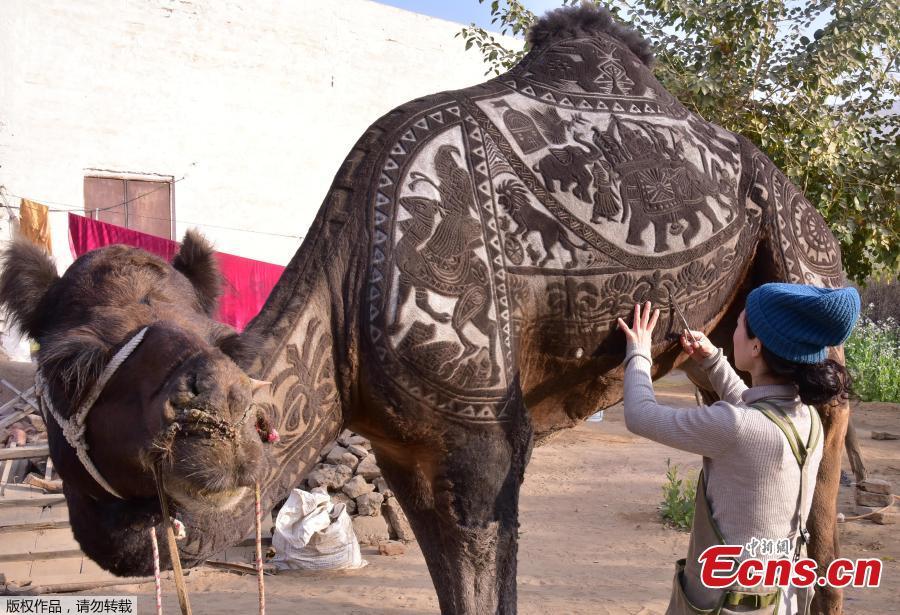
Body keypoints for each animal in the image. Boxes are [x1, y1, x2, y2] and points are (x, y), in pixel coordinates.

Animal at [0, 6, 852, 615]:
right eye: (65, 363)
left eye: (219, 339)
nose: (217, 414)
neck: (351, 300)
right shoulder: (405, 451)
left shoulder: (480, 442)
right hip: (725, 327)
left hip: (801, 250)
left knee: (823, 452)